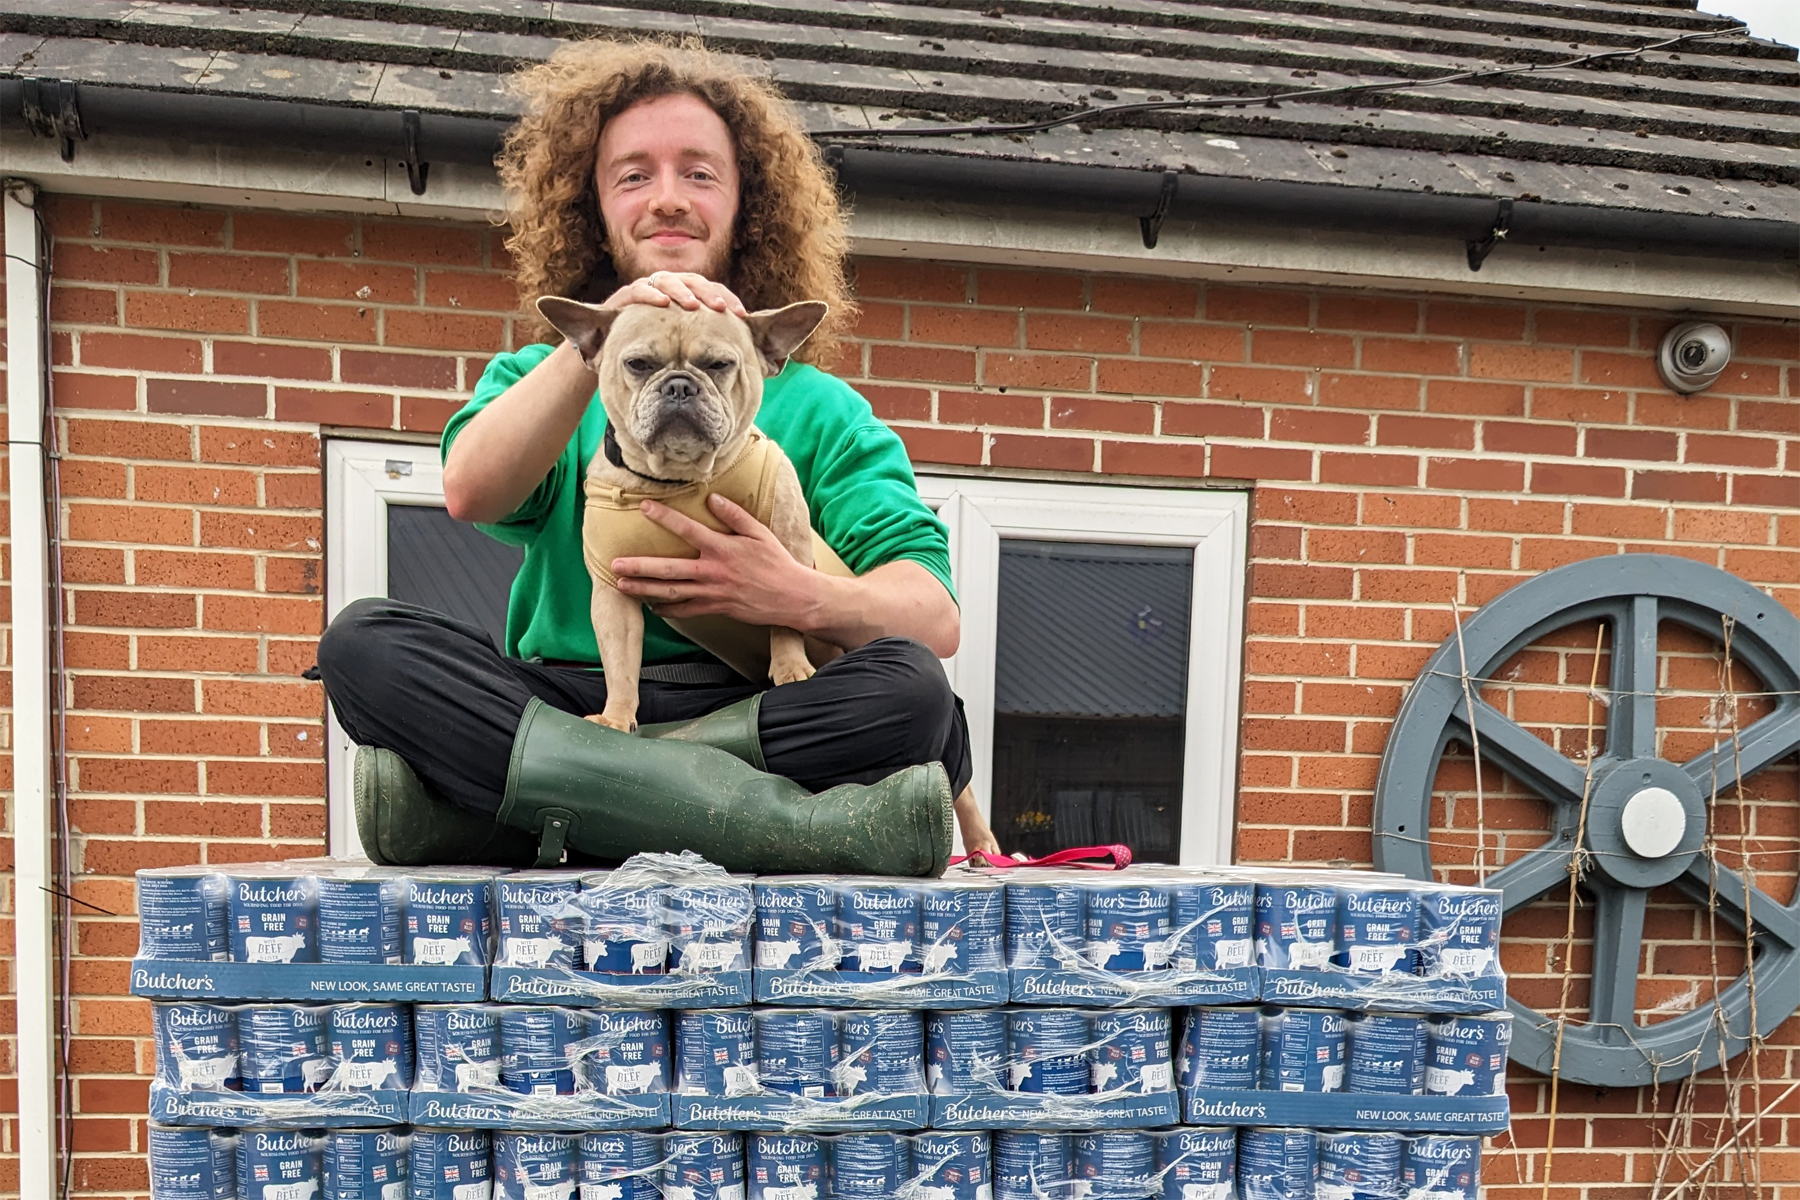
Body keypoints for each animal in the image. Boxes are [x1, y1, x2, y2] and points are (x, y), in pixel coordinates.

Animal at [535, 295, 841, 732]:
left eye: (719, 365)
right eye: (638, 364)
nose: (679, 385)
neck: (674, 478)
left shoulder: (789, 555)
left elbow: (785, 619)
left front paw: (790, 669)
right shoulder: (614, 594)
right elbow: (620, 663)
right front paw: (617, 716)